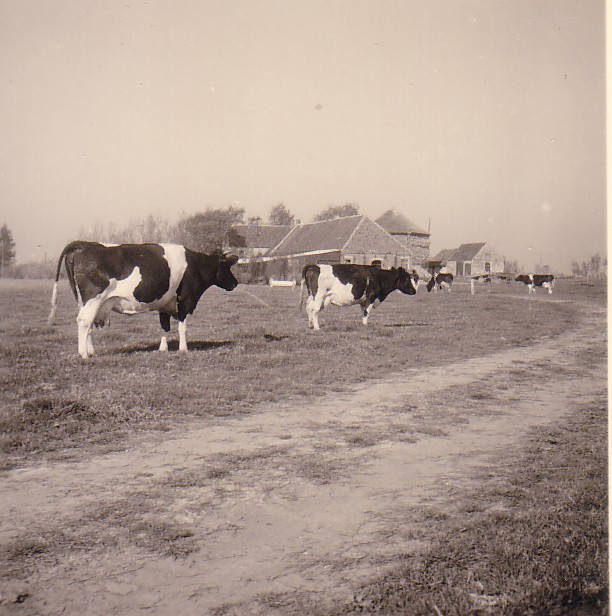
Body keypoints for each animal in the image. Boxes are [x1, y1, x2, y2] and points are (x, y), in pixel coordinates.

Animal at [47, 239, 239, 358]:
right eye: (227, 267)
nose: (235, 283)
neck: (196, 265)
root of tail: (84, 244)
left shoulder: (165, 303)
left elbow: (164, 326)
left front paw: (163, 349)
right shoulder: (185, 299)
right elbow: (182, 328)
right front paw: (184, 349)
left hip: (84, 301)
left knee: (87, 325)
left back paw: (91, 351)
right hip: (94, 299)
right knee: (84, 322)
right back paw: (84, 355)